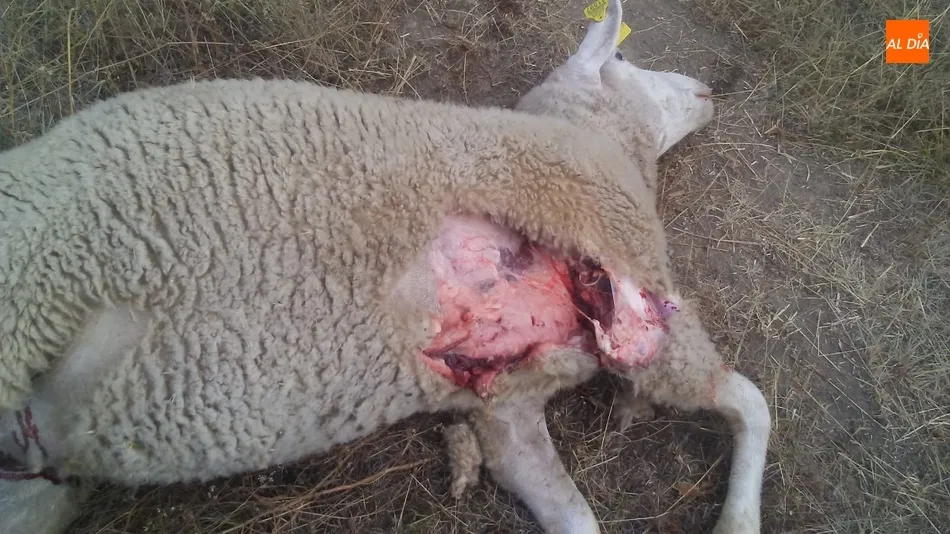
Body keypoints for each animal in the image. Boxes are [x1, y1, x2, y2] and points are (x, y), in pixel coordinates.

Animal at [0, 1, 770, 533]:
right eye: (630, 60)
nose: (707, 90)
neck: (587, 135)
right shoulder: (629, 266)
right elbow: (751, 401)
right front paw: (738, 521)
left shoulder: (507, 406)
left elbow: (571, 512)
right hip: (33, 275)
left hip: (38, 477)